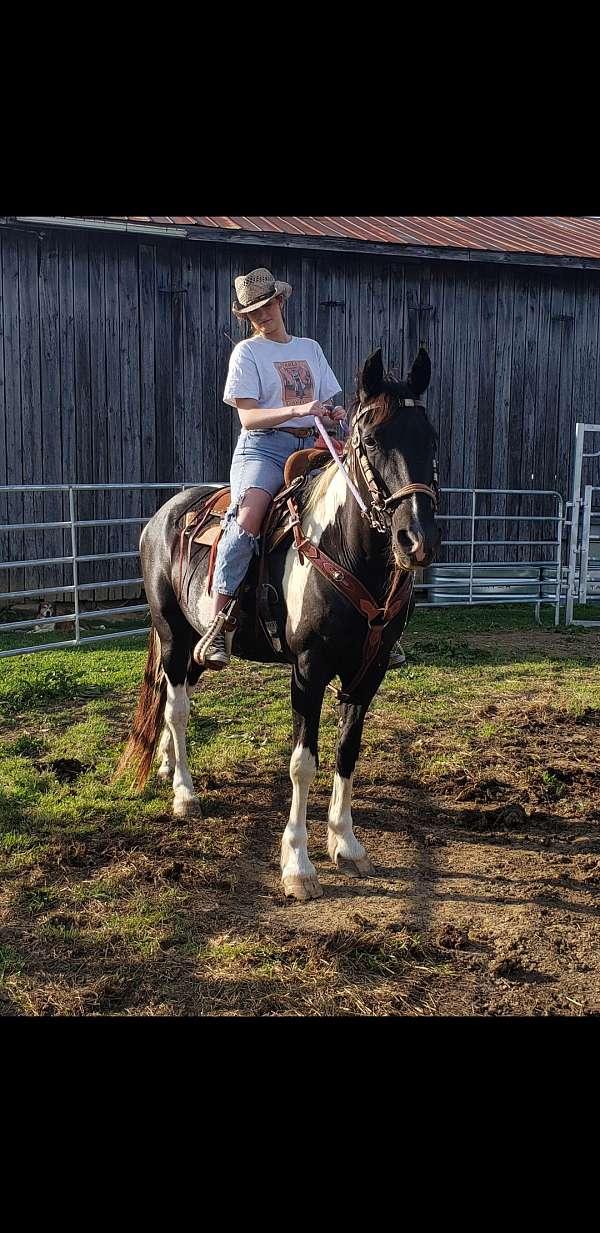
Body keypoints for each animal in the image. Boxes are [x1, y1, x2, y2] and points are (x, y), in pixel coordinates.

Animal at [115, 347, 441, 907]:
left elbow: (347, 751)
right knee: (177, 708)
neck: (345, 552)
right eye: (371, 440)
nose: (415, 539)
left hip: (195, 646)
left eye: (432, 438)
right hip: (173, 634)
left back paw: (165, 765)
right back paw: (184, 793)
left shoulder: (369, 672)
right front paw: (298, 865)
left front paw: (347, 845)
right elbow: (302, 762)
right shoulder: (308, 670)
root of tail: (163, 516)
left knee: (174, 697)